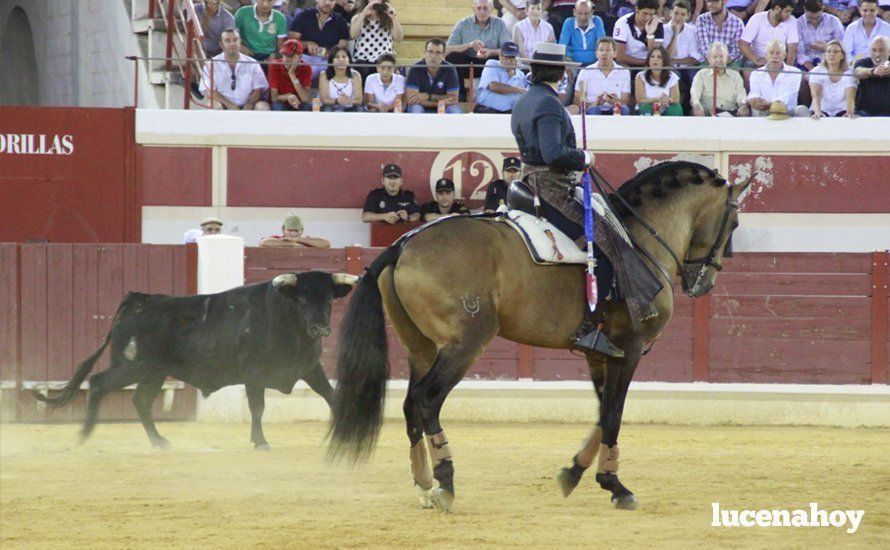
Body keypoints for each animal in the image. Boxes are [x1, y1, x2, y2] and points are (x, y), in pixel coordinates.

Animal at [33, 270, 358, 448]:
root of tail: (139, 299)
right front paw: (261, 441)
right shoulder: (254, 374)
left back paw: (159, 441)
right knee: (99, 383)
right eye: (301, 299)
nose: (321, 328)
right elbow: (258, 407)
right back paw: (85, 433)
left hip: (154, 372)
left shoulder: (310, 368)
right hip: (131, 366)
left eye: (330, 300)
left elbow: (332, 395)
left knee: (141, 401)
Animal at [326, 162, 748, 516]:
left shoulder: (599, 355)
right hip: (464, 345)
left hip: (422, 349)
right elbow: (613, 413)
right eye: (734, 224)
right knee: (427, 400)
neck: (640, 239)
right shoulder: (629, 350)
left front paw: (575, 472)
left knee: (411, 404)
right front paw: (615, 485)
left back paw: (424, 485)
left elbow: (602, 413)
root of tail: (404, 244)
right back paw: (445, 483)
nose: (704, 283)